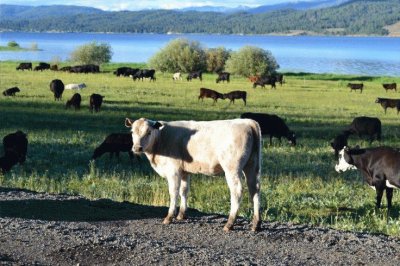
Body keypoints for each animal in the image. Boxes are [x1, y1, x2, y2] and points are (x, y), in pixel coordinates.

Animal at [125, 117, 262, 232]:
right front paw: (181, 214)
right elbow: (184, 191)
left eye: (148, 132)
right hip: (252, 165)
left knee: (237, 191)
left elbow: (174, 192)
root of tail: (247, 121)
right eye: (132, 132)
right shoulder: (185, 171)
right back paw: (256, 223)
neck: (161, 138)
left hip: (232, 168)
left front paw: (169, 217)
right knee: (254, 190)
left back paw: (230, 223)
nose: (137, 148)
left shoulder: (173, 170)